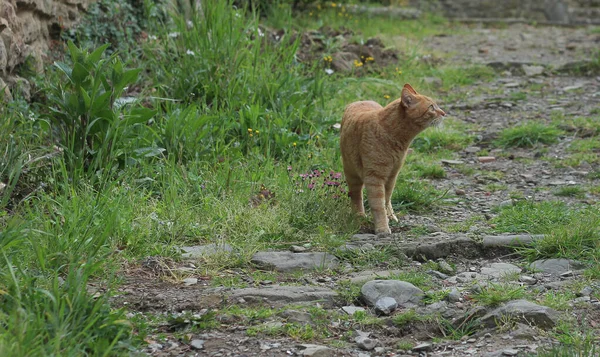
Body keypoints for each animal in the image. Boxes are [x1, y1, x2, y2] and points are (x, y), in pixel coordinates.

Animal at [338, 83, 446, 234]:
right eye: (431, 107)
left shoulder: (392, 175)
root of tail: (359, 101)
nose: (444, 113)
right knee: (356, 195)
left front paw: (389, 217)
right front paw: (382, 227)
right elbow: (378, 205)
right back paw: (359, 216)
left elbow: (386, 200)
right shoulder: (375, 177)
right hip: (351, 172)